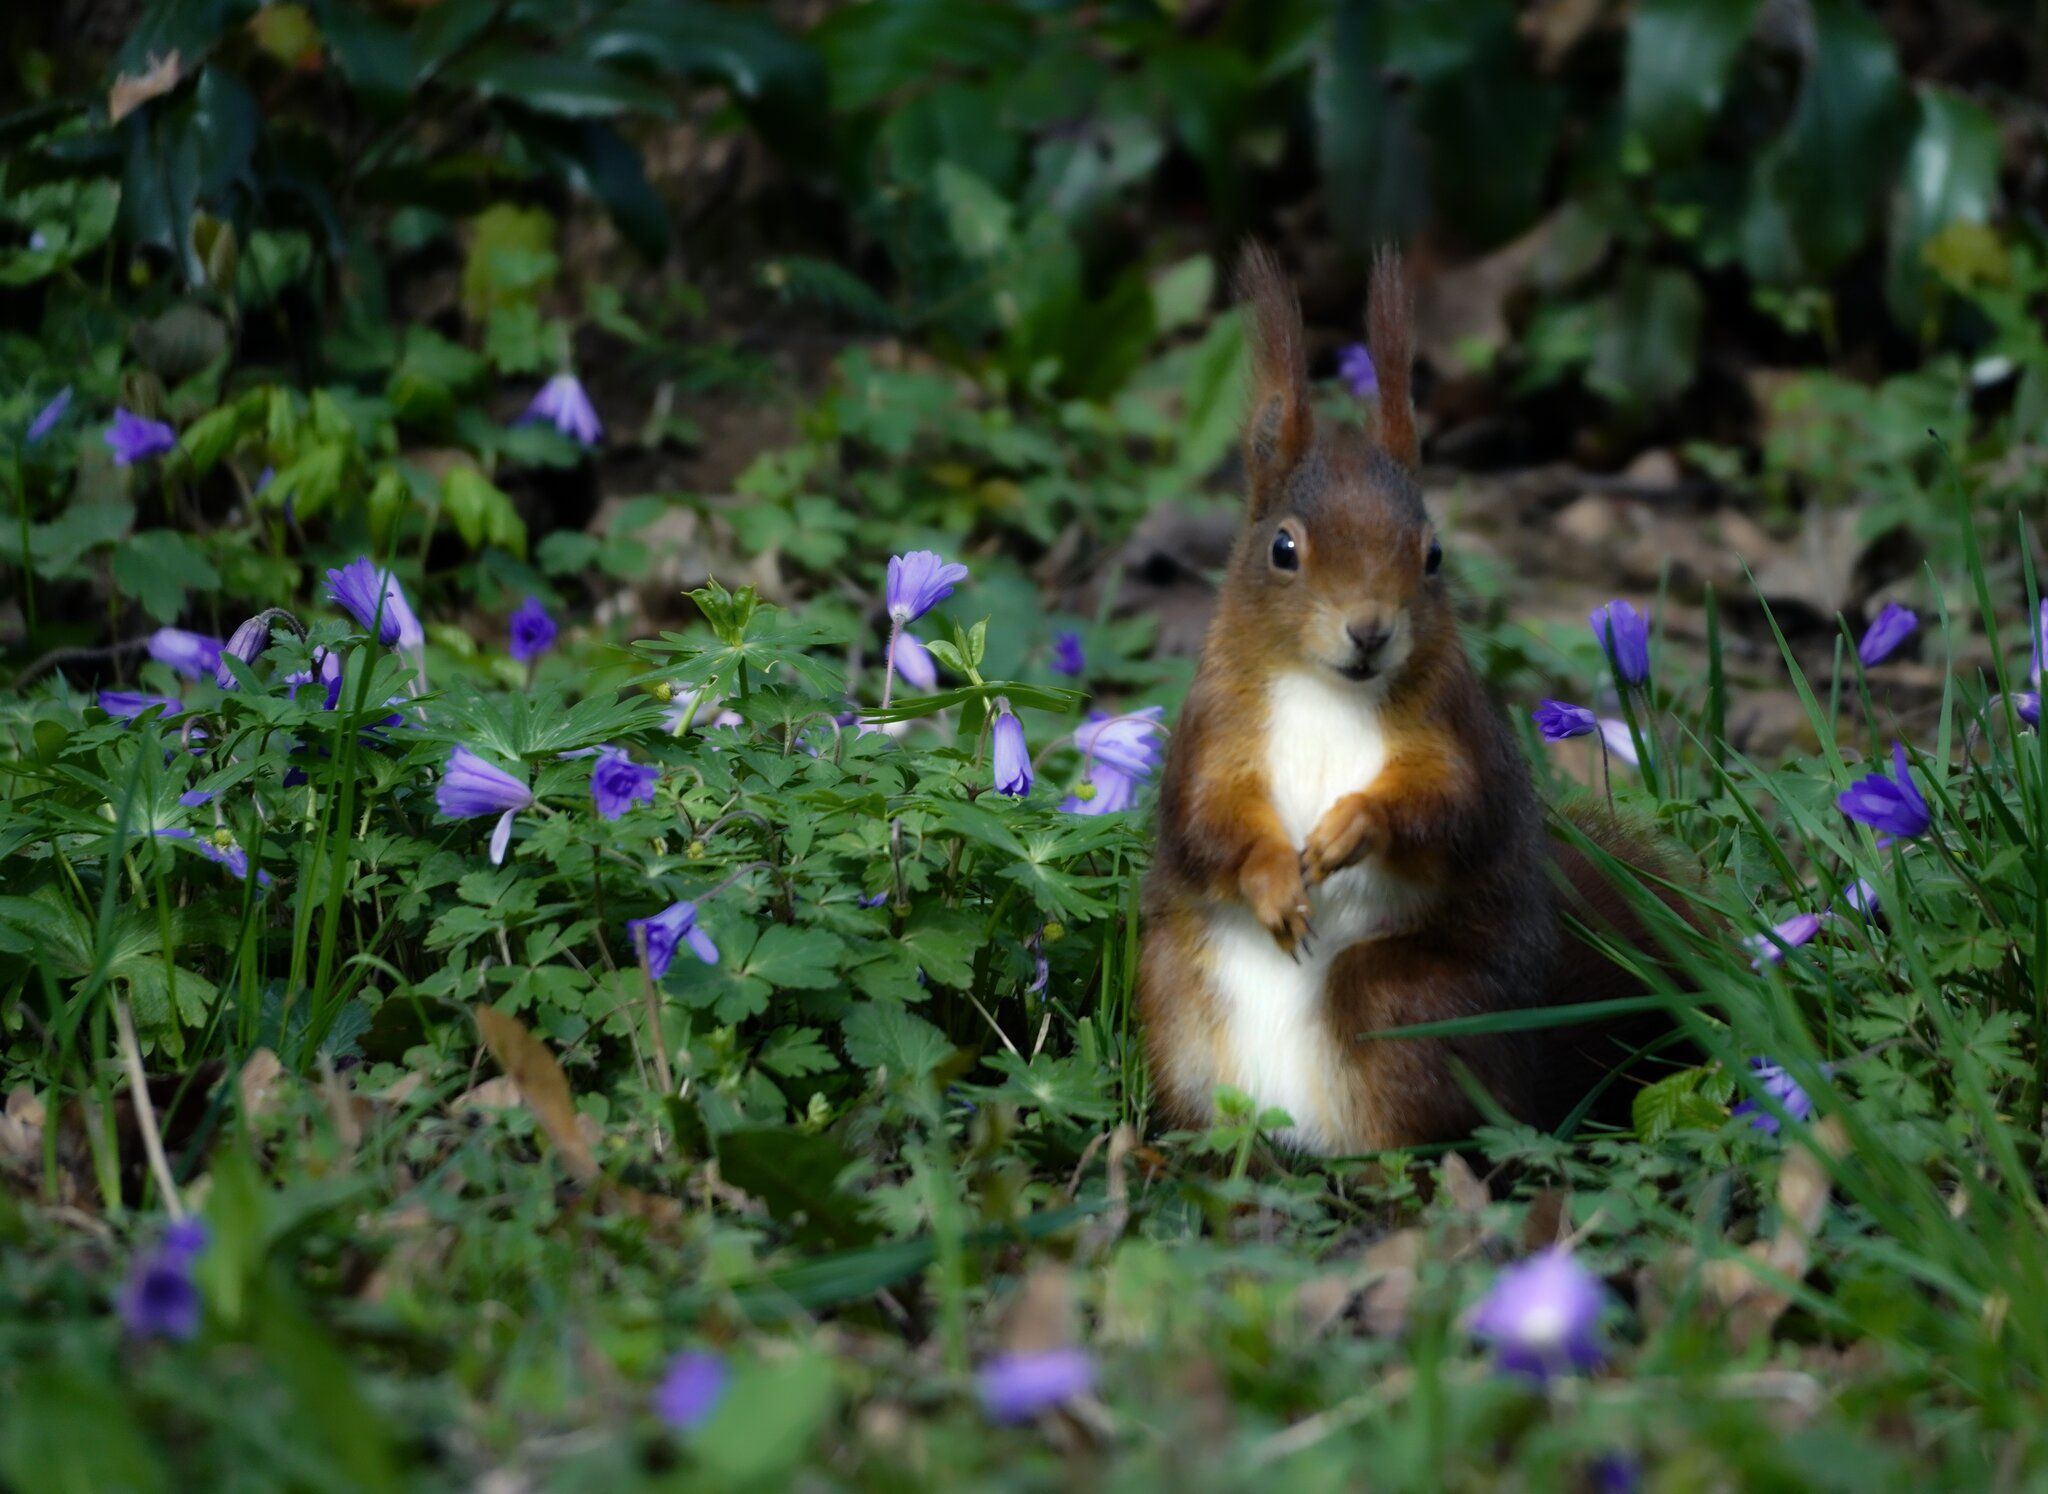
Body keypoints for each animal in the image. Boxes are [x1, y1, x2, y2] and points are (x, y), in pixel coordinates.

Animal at [1138, 246, 1695, 1155]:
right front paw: (1273, 879)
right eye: (1283, 549)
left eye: (1433, 554)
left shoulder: (1455, 730)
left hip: (1410, 1007)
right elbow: (1208, 821)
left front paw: (1354, 827)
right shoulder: (1215, 730)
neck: (1325, 693)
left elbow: (1451, 807)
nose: (1370, 630)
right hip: (1173, 999)